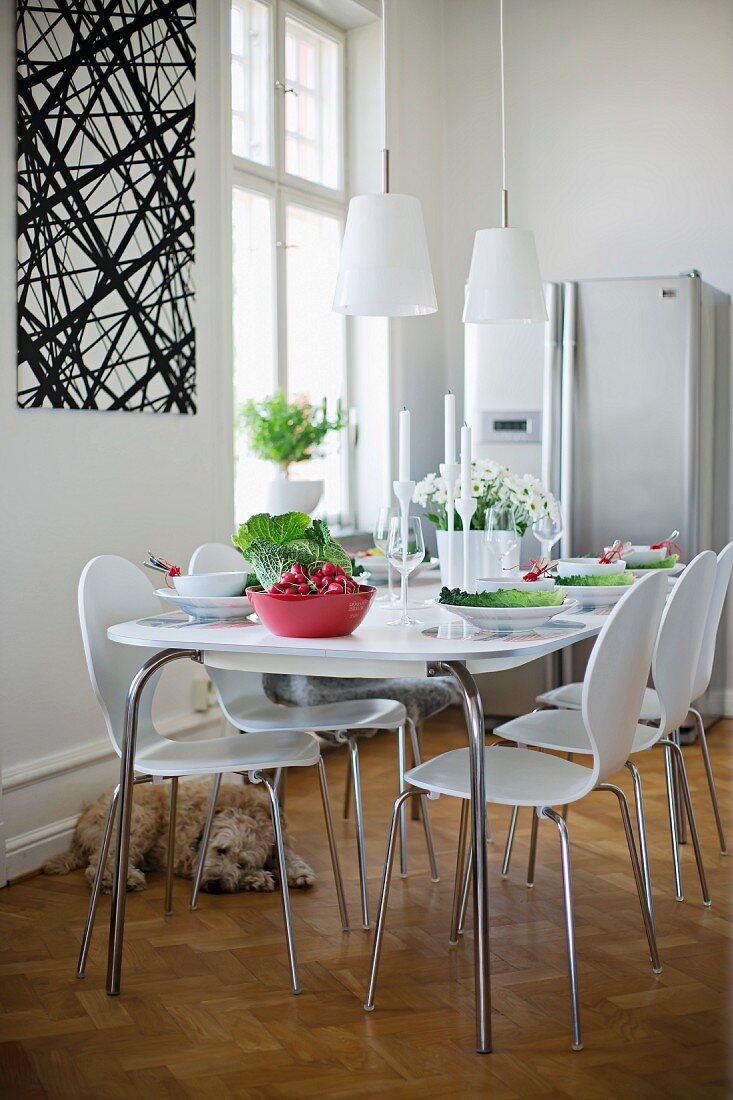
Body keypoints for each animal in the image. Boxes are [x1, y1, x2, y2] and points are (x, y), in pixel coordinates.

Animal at [44, 783, 314, 893]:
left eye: (243, 863)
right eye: (220, 850)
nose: (215, 885)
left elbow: (287, 855)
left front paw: (297, 873)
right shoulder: (188, 856)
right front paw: (260, 878)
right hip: (141, 819)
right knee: (102, 865)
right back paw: (125, 879)